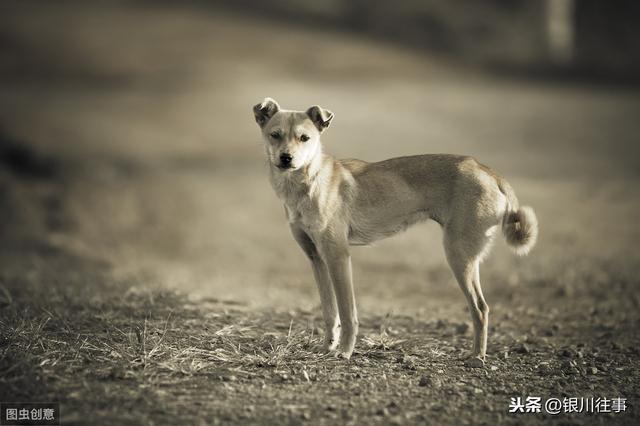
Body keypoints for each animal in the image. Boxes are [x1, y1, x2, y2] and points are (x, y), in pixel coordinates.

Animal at [252, 97, 536, 366]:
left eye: (304, 138)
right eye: (275, 134)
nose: (286, 158)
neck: (309, 181)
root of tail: (485, 169)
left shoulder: (338, 256)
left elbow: (347, 313)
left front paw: (345, 352)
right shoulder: (317, 258)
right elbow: (329, 312)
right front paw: (327, 347)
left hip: (458, 255)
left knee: (480, 308)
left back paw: (477, 356)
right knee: (482, 308)